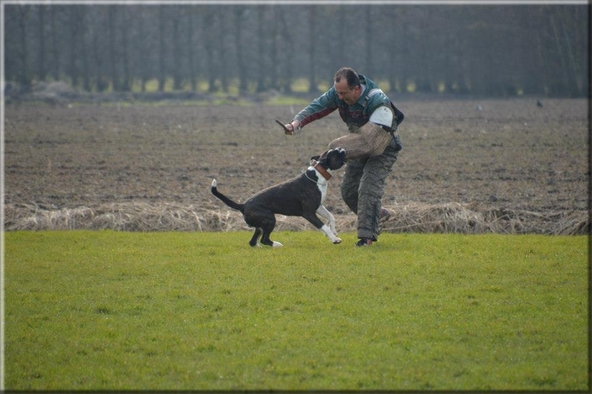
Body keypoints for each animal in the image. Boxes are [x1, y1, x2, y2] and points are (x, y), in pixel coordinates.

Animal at [210, 148, 346, 246]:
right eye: (336, 153)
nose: (342, 148)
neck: (318, 174)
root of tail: (243, 205)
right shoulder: (309, 213)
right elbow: (323, 226)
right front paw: (334, 239)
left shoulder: (318, 207)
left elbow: (331, 216)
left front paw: (334, 231)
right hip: (270, 218)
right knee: (264, 239)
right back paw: (277, 245)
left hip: (261, 225)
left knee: (253, 241)